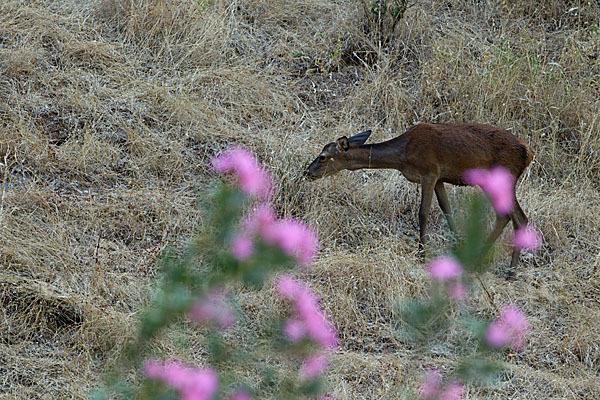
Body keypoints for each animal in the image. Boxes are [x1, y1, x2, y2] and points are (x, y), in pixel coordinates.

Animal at [304, 122, 536, 272]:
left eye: (323, 157)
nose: (307, 172)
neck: (403, 156)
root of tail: (529, 153)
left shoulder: (429, 172)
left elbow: (423, 213)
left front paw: (422, 254)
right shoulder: (440, 178)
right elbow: (446, 208)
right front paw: (458, 246)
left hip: (502, 177)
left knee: (514, 216)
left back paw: (507, 269)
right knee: (512, 216)